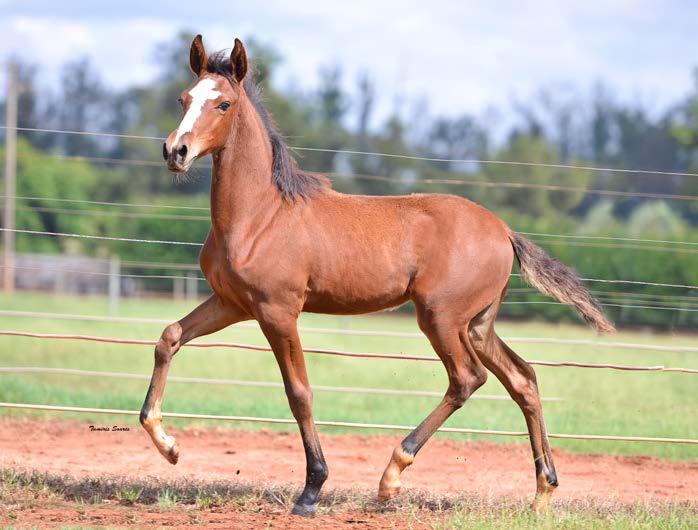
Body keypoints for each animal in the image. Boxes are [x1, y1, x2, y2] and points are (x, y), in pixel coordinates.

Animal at [139, 35, 612, 512]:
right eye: (184, 98)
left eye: (224, 103)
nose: (175, 152)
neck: (259, 216)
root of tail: (504, 232)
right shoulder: (233, 303)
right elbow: (169, 338)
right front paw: (169, 446)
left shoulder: (278, 311)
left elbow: (299, 393)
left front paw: (312, 489)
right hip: (477, 324)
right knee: (523, 379)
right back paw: (542, 492)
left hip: (441, 319)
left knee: (467, 379)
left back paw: (391, 476)